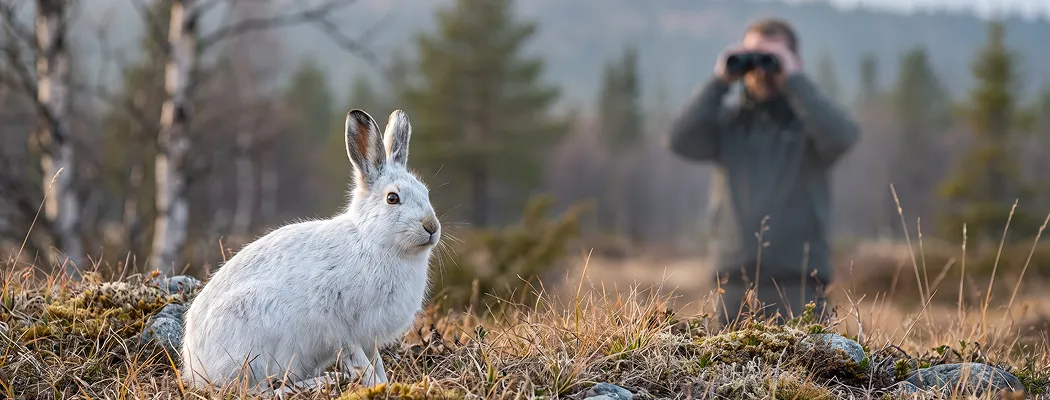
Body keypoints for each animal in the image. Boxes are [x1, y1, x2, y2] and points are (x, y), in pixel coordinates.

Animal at [179, 109, 440, 394]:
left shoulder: (368, 336)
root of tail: (195, 367)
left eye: (426, 192)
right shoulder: (341, 326)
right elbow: (359, 360)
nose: (431, 227)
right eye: (392, 198)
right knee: (255, 389)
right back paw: (321, 380)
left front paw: (384, 384)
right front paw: (373, 384)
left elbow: (376, 362)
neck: (373, 240)